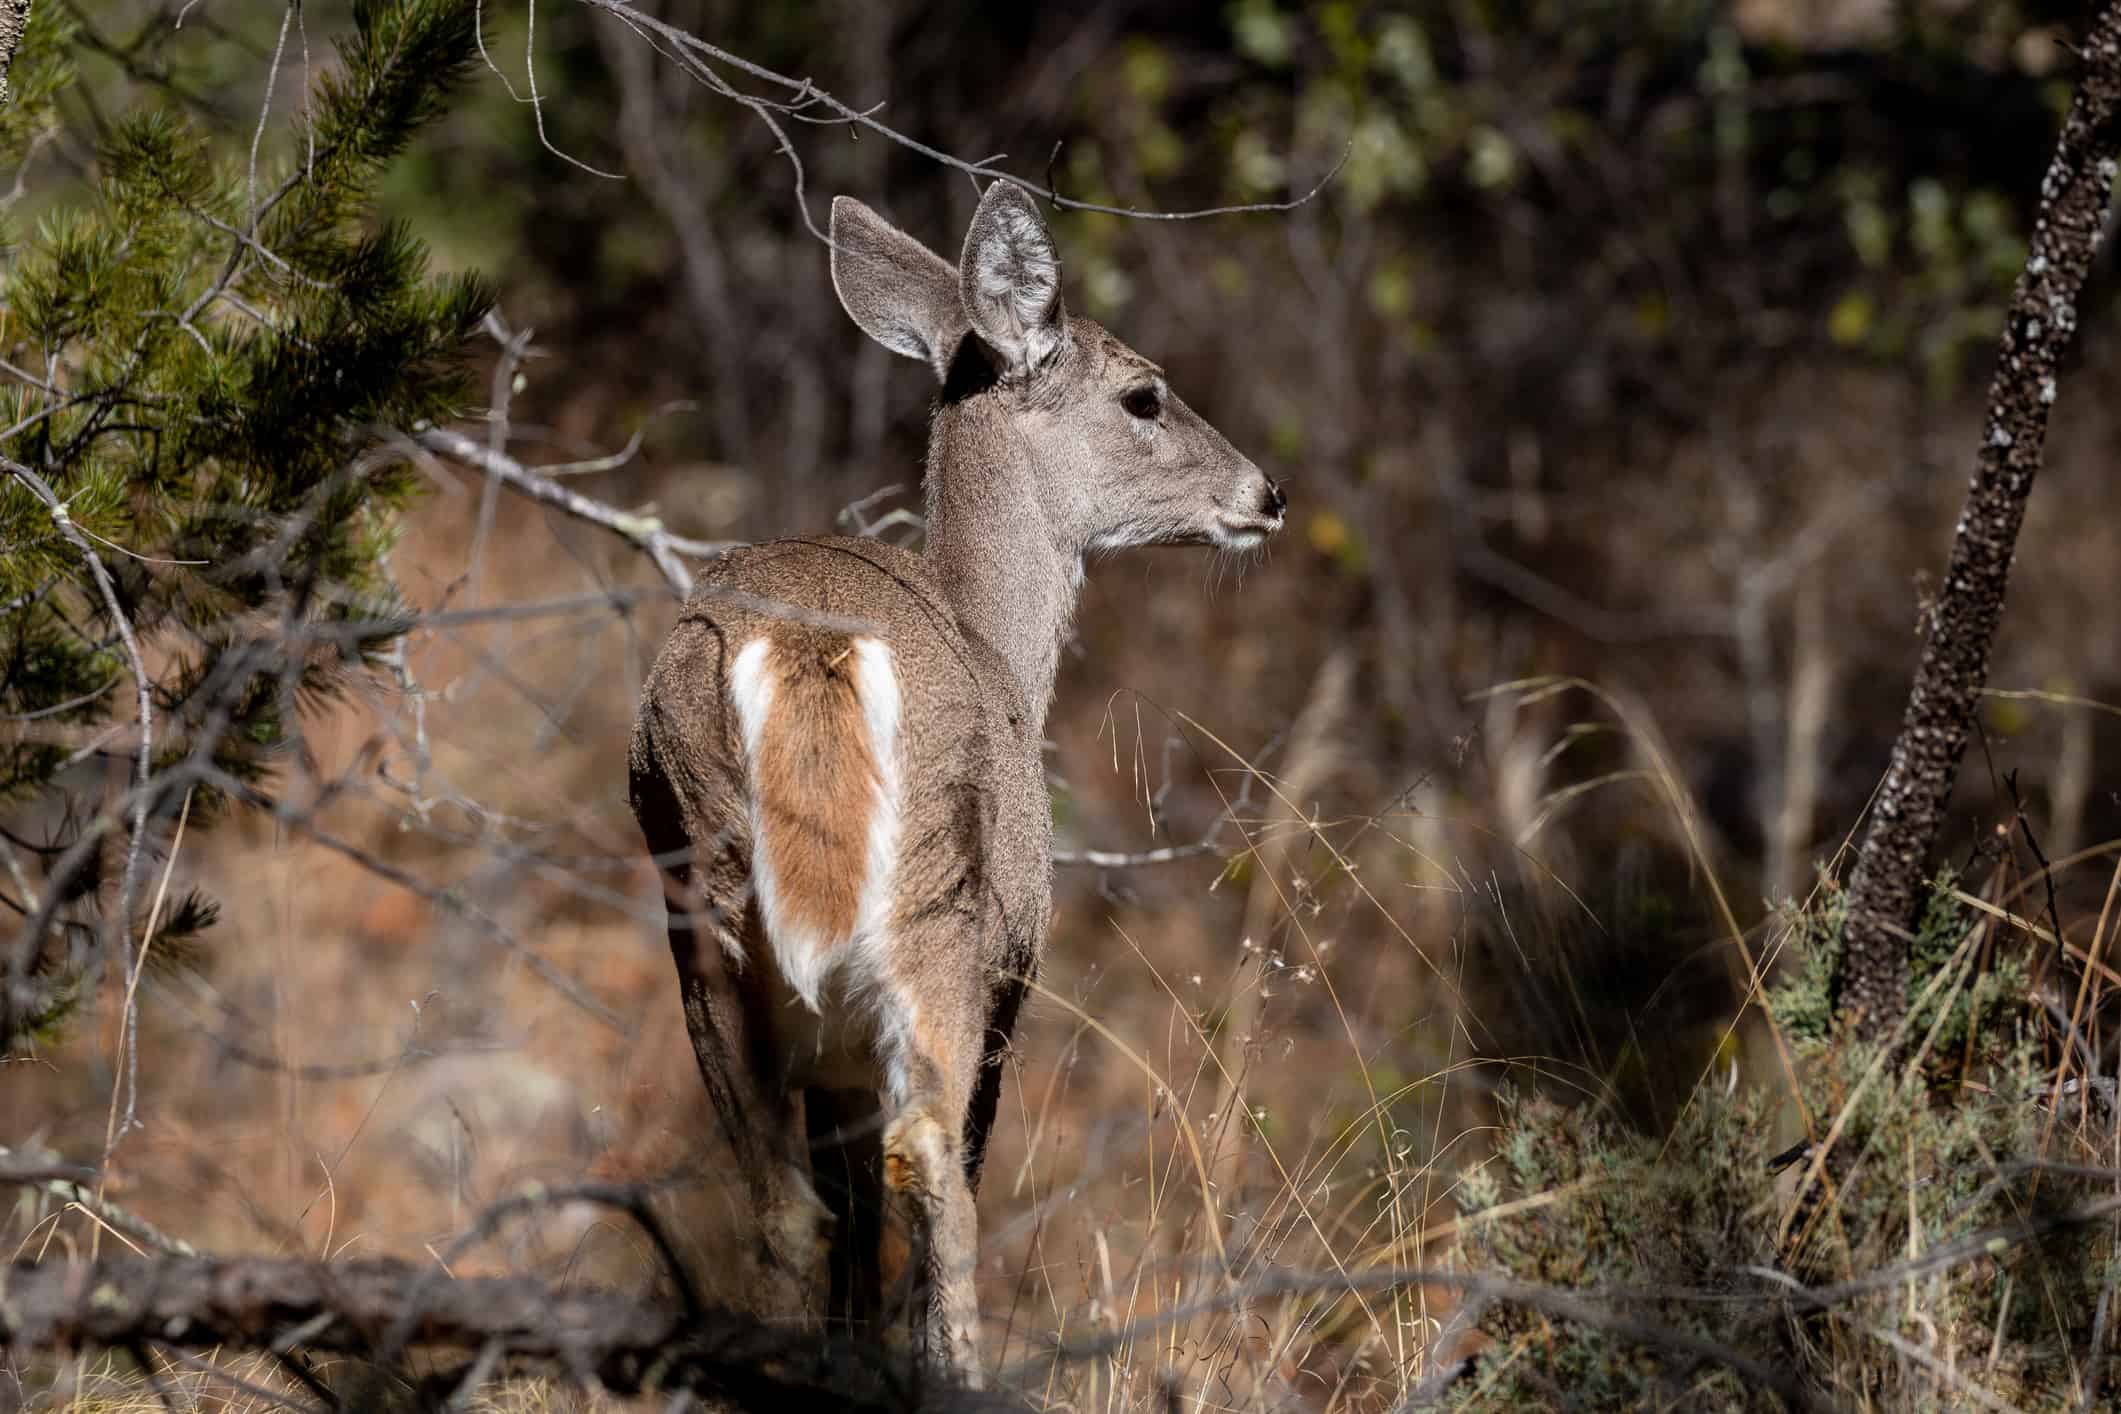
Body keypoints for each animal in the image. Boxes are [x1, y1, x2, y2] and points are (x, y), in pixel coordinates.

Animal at [627, 182, 1281, 1390]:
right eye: (1145, 394)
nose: (1267, 492)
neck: (1001, 642)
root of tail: (808, 647)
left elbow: (841, 1213)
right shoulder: (1018, 954)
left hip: (702, 909)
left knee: (783, 1201)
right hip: (938, 907)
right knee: (933, 1168)